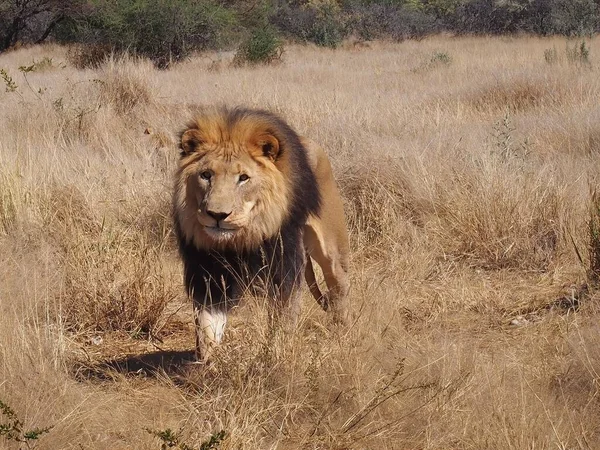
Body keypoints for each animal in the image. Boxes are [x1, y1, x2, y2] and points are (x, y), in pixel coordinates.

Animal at [173, 106, 350, 362]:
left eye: (243, 178)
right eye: (206, 175)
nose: (217, 215)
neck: (243, 237)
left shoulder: (284, 268)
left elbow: (283, 320)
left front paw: (277, 355)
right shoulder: (208, 273)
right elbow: (207, 326)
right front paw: (209, 363)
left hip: (331, 250)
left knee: (339, 287)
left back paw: (344, 336)